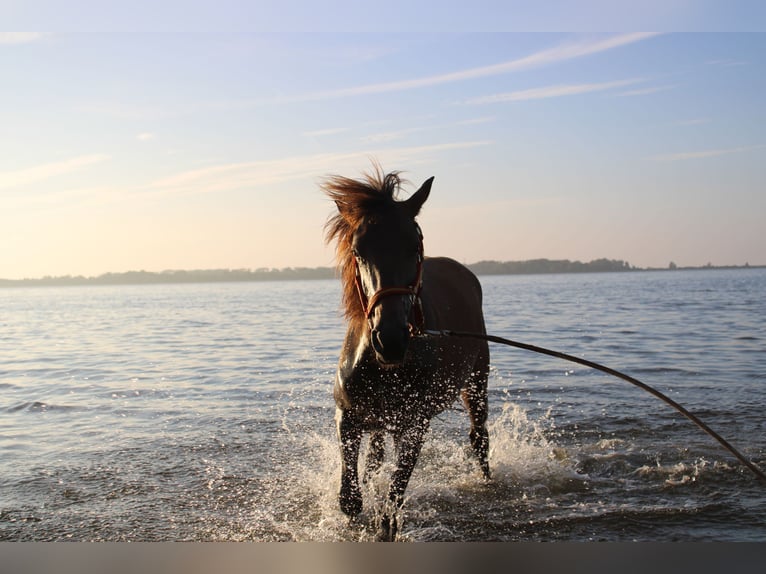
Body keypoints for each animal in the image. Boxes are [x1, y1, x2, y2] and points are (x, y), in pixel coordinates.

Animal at [322, 165, 492, 540]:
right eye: (358, 251)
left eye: (414, 246)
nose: (390, 339)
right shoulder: (348, 417)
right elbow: (350, 497)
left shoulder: (414, 427)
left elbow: (392, 504)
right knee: (374, 459)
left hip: (476, 382)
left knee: (479, 438)